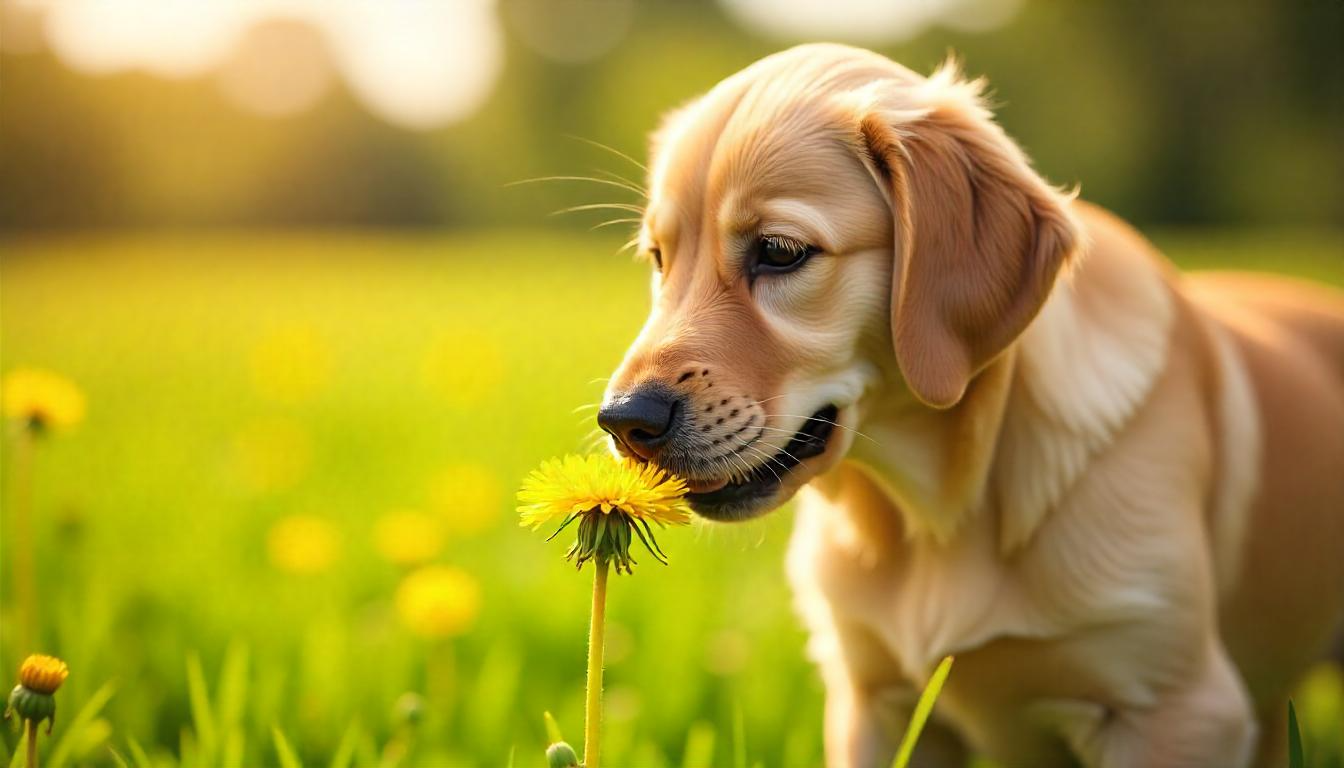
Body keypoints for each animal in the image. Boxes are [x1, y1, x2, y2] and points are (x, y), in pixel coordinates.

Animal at [596, 45, 1344, 763]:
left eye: (780, 251)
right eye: (660, 257)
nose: (624, 420)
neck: (938, 517)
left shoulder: (1175, 708)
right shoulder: (873, 706)